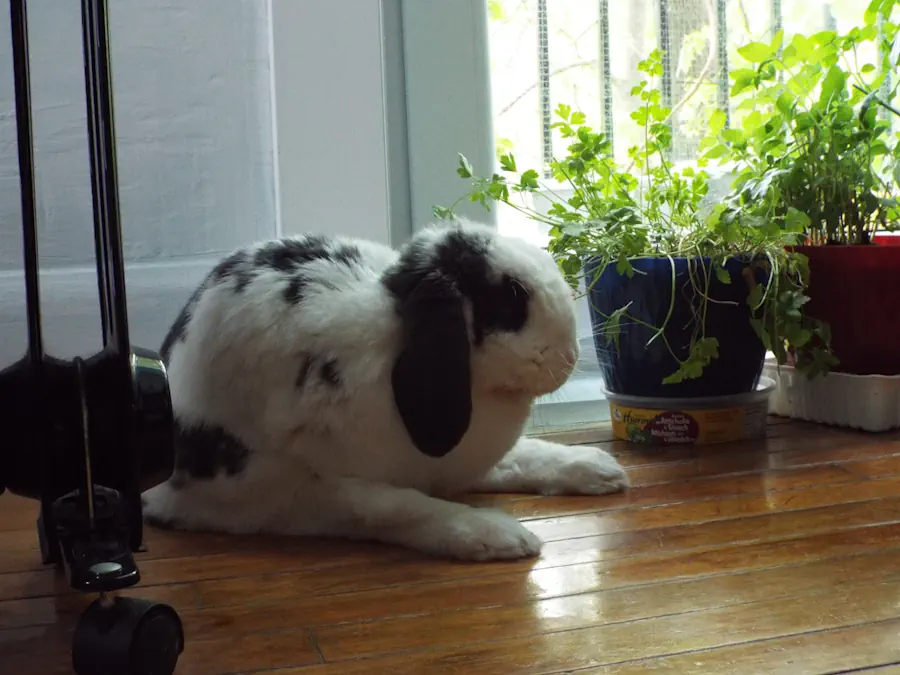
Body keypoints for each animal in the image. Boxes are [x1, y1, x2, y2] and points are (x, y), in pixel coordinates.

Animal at [141, 217, 629, 561]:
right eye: (511, 295)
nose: (571, 355)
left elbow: (518, 459)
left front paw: (597, 469)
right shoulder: (287, 493)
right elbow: (391, 507)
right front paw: (497, 536)